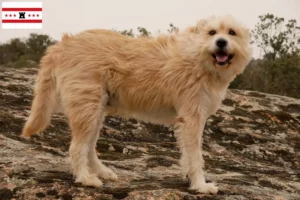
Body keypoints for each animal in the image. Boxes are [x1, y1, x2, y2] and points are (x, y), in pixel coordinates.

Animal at [21, 15, 252, 194]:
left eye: (231, 32)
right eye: (212, 32)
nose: (221, 42)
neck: (199, 58)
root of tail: (62, 44)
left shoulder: (190, 120)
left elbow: (188, 155)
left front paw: (191, 180)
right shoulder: (191, 118)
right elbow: (196, 156)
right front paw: (201, 185)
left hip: (96, 112)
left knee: (89, 147)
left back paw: (102, 172)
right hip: (87, 109)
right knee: (77, 147)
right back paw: (86, 178)